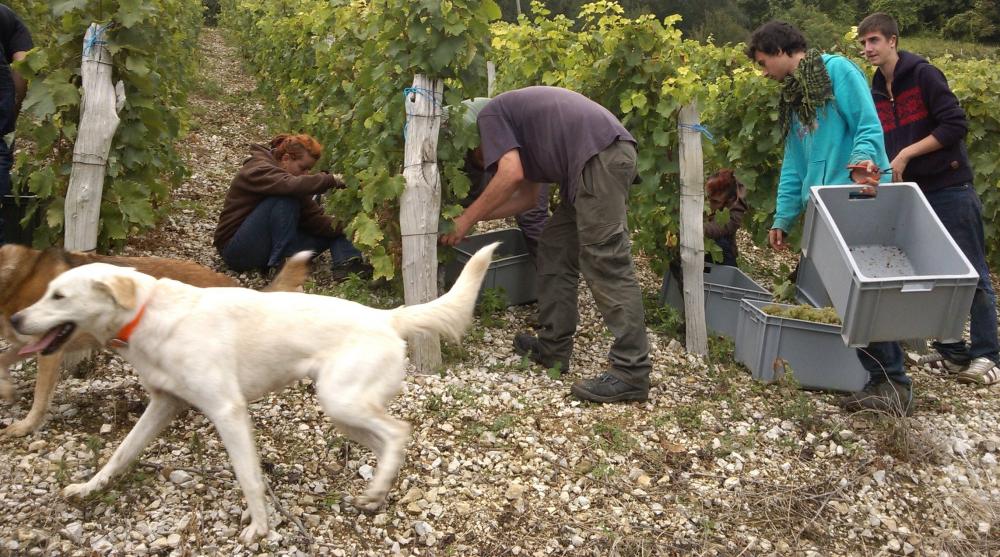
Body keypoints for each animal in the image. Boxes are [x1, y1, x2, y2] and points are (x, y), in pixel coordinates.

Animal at [0, 245, 308, 436]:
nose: (15, 320)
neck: (17, 277)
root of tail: (233, 285)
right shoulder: (29, 342)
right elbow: (5, 359)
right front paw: (7, 390)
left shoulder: (49, 350)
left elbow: (40, 394)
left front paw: (26, 425)